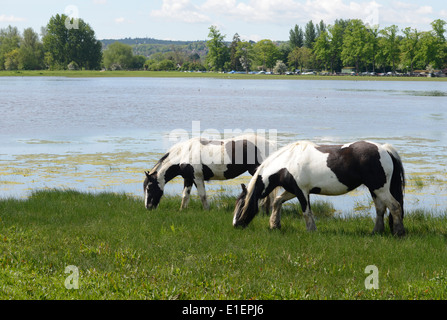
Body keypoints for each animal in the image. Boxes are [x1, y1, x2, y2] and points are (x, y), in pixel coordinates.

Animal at [144, 134, 276, 210]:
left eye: (149, 188)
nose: (148, 207)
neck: (184, 154)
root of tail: (270, 144)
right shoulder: (188, 178)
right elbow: (185, 195)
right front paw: (182, 210)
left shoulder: (197, 178)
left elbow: (202, 195)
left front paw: (206, 210)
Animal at [233, 141, 408, 236]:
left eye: (241, 205)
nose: (235, 225)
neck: (287, 162)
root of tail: (384, 149)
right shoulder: (293, 190)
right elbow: (277, 201)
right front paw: (274, 224)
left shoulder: (302, 192)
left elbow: (306, 212)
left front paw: (311, 231)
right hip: (375, 190)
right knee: (380, 209)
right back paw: (376, 232)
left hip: (380, 189)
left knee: (395, 206)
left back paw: (399, 233)